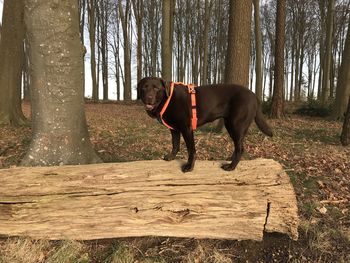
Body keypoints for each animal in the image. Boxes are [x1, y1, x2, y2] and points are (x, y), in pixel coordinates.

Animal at [137, 77, 274, 173]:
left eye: (156, 88)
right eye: (144, 88)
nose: (149, 98)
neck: (167, 98)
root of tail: (254, 95)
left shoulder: (187, 129)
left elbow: (191, 150)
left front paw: (189, 167)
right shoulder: (174, 129)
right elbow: (175, 144)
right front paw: (171, 156)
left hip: (236, 125)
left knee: (241, 148)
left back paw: (231, 167)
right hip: (230, 125)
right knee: (238, 146)